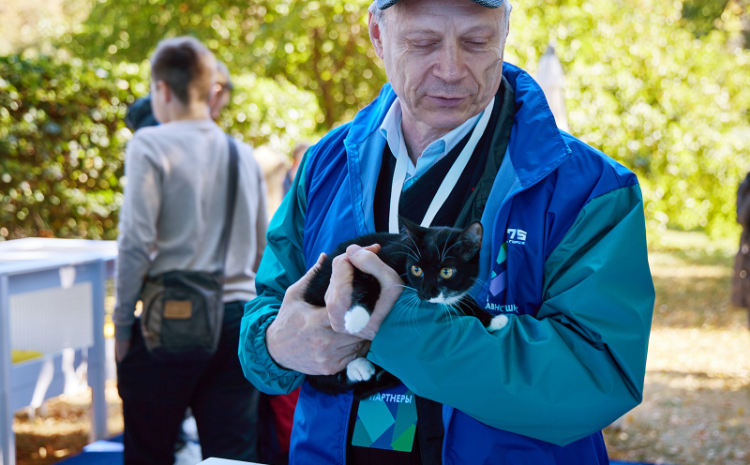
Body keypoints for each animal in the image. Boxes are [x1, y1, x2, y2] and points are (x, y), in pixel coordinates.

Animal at [302, 217, 508, 396]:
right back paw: (357, 367)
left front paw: (493, 319)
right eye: (417, 270)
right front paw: (357, 317)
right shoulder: (369, 256)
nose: (426, 294)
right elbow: (366, 283)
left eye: (446, 272)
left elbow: (463, 299)